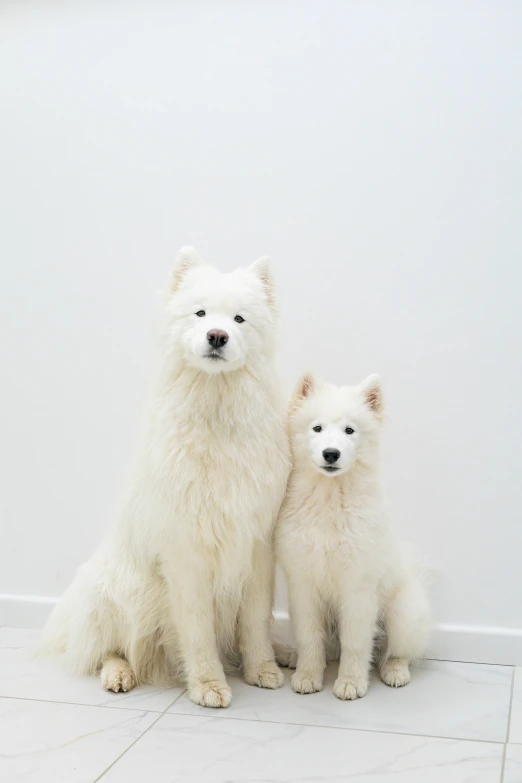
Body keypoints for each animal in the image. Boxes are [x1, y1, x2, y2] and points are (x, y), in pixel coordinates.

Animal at [41, 250, 288, 712]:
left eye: (239, 319)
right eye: (201, 313)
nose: (217, 336)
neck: (216, 415)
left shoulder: (257, 544)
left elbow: (256, 622)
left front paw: (263, 669)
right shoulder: (186, 553)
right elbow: (198, 631)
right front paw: (208, 685)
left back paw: (285, 651)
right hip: (120, 593)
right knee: (110, 648)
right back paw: (118, 674)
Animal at [274, 374, 428, 700]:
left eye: (349, 430)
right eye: (317, 428)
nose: (331, 453)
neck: (330, 497)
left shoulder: (358, 586)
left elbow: (356, 642)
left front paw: (350, 683)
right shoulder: (302, 583)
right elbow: (309, 637)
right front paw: (307, 676)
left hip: (402, 613)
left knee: (397, 651)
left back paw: (394, 671)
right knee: (330, 647)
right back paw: (293, 657)